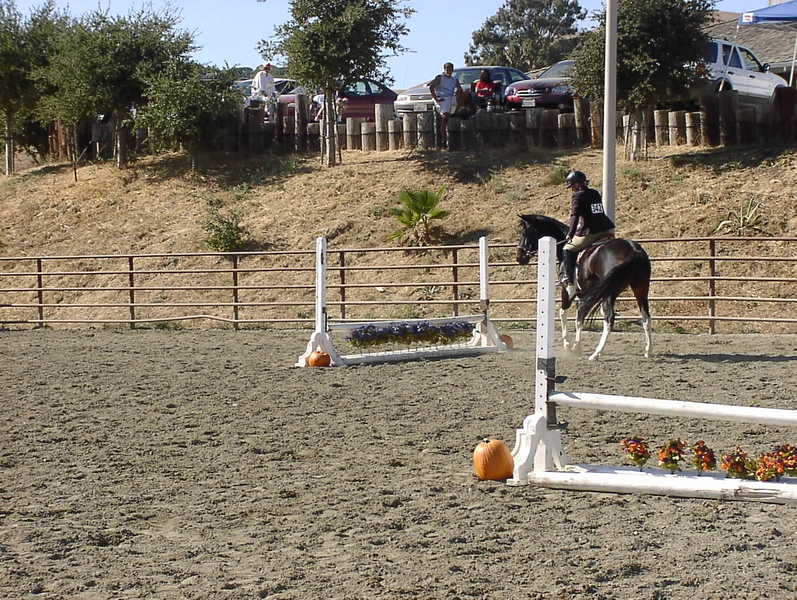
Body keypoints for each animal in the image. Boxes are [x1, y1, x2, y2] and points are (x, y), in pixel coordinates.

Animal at [516, 214, 652, 361]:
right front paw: (576, 345)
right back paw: (648, 350)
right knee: (646, 317)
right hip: (640, 289)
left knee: (609, 319)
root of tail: (634, 251)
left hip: (609, 293)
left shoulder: (568, 289)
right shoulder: (585, 294)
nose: (519, 257)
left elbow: (565, 312)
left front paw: (569, 345)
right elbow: (579, 315)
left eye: (524, 233)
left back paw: (595, 353)